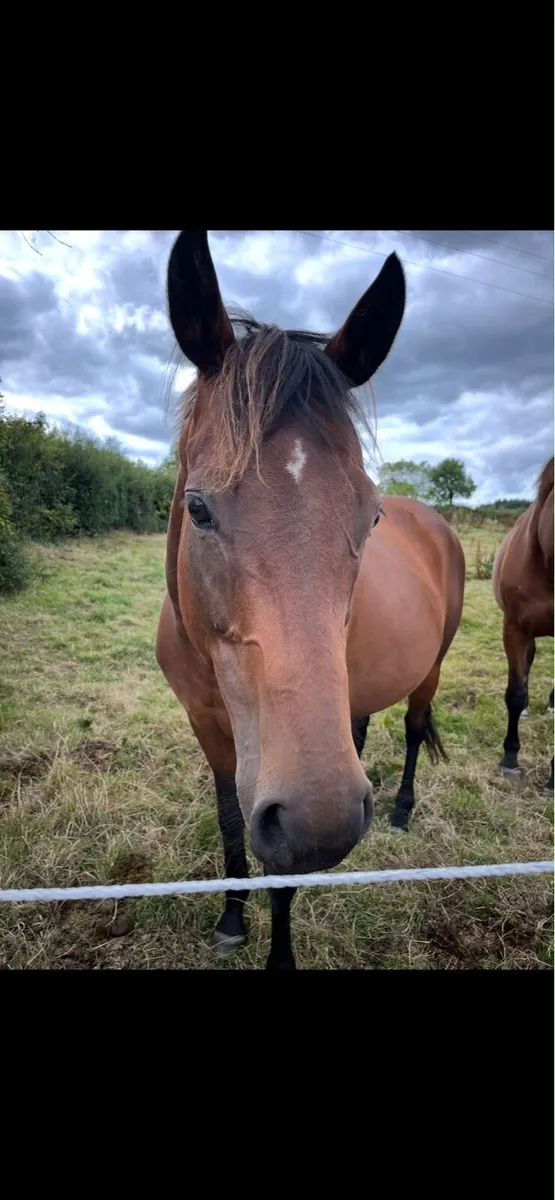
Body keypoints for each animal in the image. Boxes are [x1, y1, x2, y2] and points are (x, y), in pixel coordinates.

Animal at [156, 230, 466, 970]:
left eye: (369, 517)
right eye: (199, 508)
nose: (324, 819)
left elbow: (282, 870)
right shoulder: (213, 731)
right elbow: (232, 827)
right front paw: (231, 919)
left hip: (430, 669)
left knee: (415, 727)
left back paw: (402, 809)